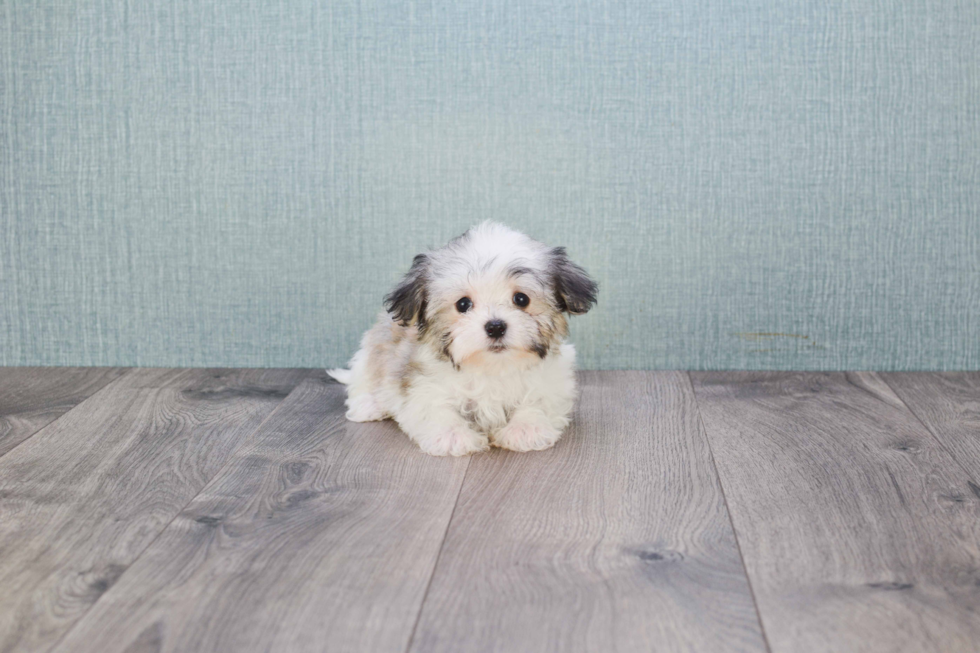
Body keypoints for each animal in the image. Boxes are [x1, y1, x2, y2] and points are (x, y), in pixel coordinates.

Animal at [328, 222, 596, 456]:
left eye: (521, 299)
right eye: (463, 304)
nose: (495, 326)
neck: (493, 368)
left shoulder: (552, 382)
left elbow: (538, 399)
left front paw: (525, 429)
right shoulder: (422, 380)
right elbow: (436, 406)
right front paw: (452, 436)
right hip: (375, 348)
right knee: (366, 380)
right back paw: (369, 405)